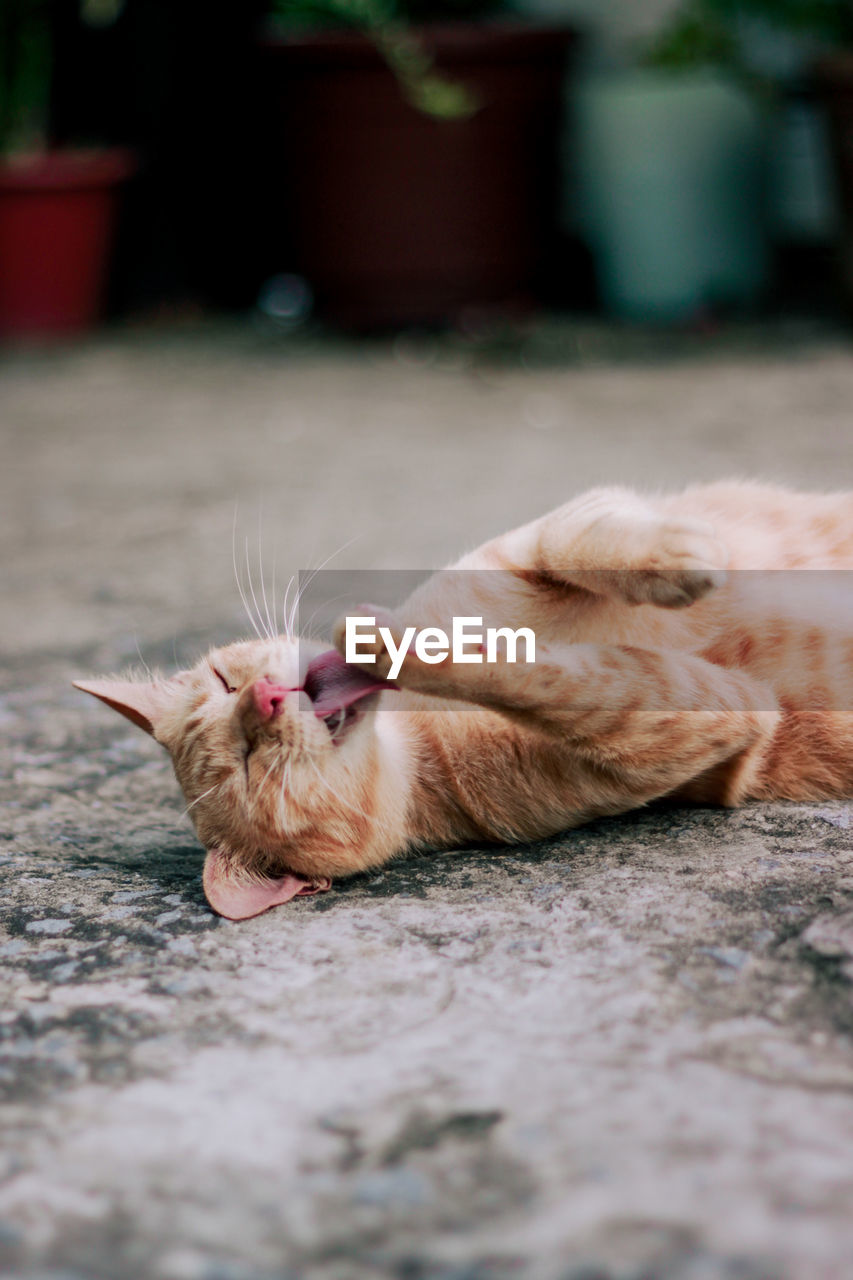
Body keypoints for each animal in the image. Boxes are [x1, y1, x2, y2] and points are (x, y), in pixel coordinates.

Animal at [73, 481, 850, 921]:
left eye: (225, 685)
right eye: (246, 766)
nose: (262, 699)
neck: (415, 728)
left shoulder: (548, 534)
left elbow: (579, 539)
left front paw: (678, 551)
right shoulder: (703, 715)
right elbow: (558, 682)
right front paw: (401, 644)